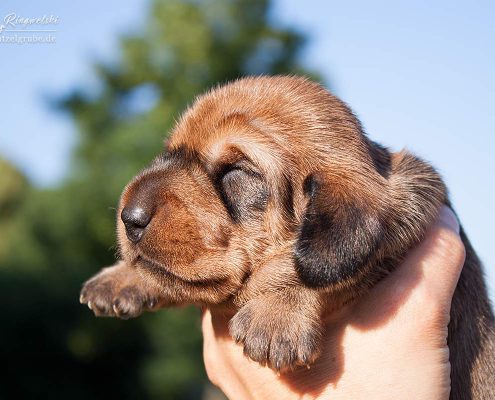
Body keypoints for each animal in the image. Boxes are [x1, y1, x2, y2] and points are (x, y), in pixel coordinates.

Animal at [80, 76, 495, 399]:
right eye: (170, 154)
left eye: (236, 171)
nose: (128, 217)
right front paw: (123, 277)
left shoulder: (404, 218)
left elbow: (311, 267)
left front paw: (276, 311)